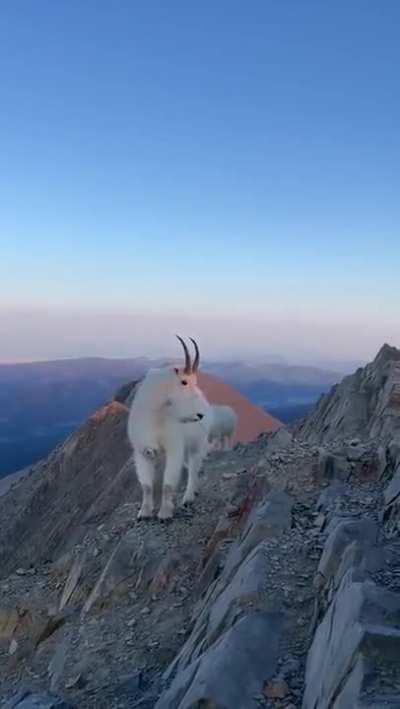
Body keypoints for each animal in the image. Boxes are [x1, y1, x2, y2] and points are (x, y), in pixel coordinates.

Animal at [127, 336, 211, 520]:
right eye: (184, 381)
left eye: (195, 381)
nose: (200, 414)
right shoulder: (142, 452)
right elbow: (147, 486)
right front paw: (144, 512)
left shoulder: (174, 449)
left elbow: (167, 483)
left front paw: (165, 513)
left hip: (195, 445)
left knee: (194, 468)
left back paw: (189, 497)